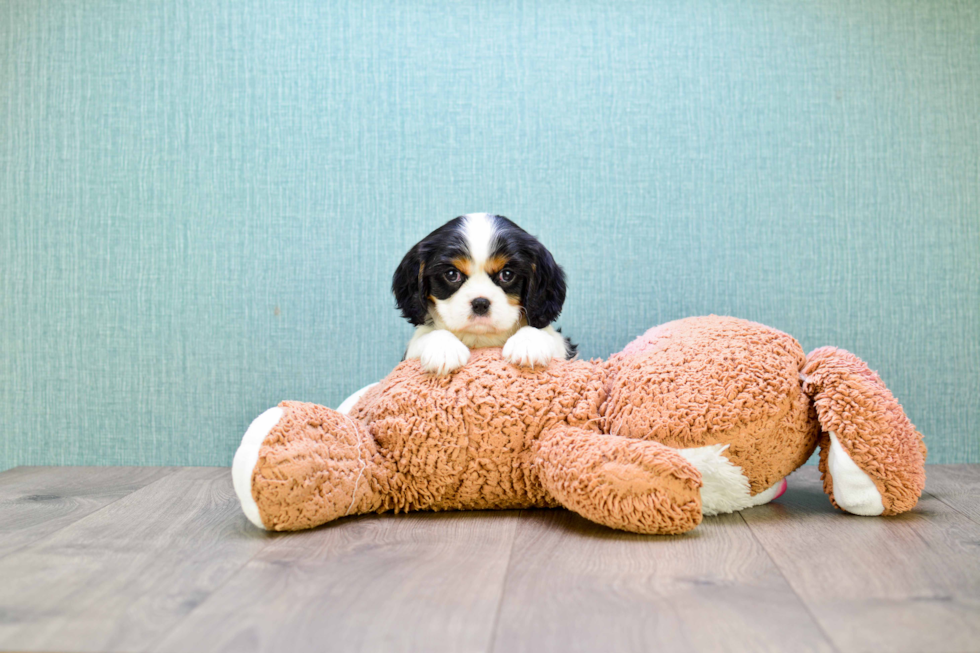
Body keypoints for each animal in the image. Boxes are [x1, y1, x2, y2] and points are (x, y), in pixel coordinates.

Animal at [390, 213, 576, 374]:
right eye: (451, 274)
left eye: (507, 274)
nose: (480, 303)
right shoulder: (410, 353)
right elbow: (426, 335)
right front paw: (444, 348)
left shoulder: (563, 350)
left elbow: (543, 332)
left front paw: (529, 343)